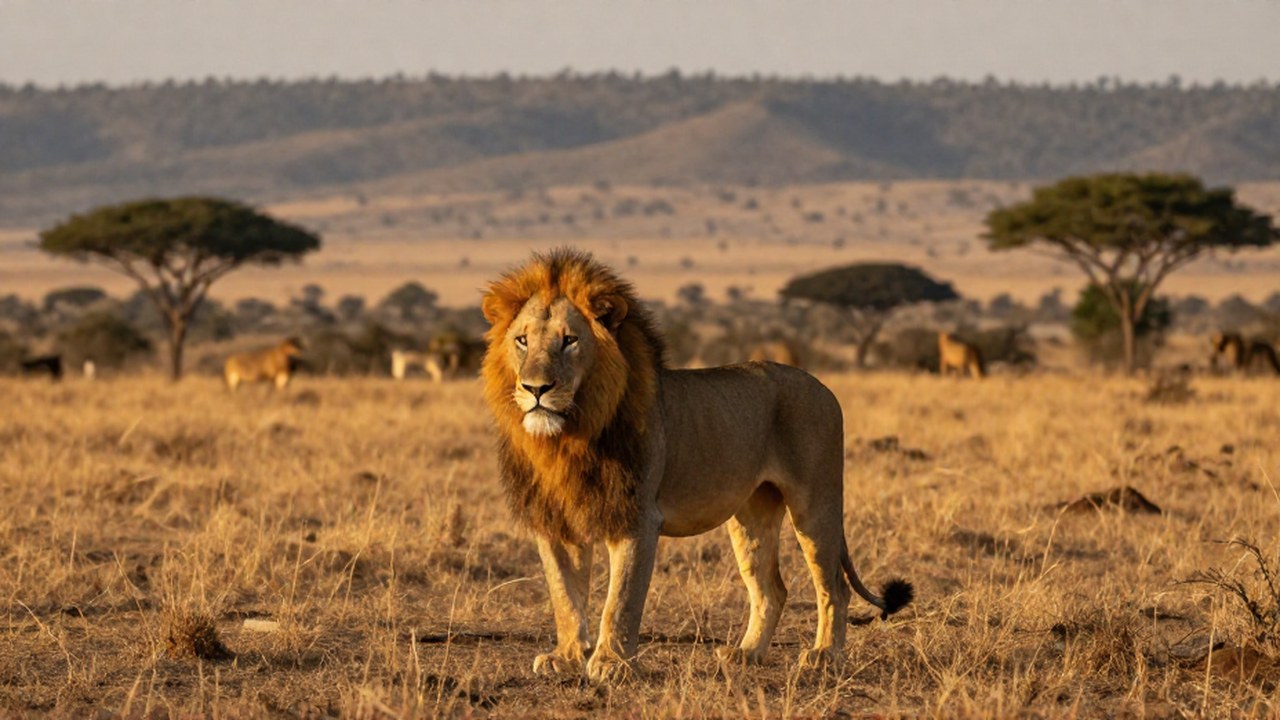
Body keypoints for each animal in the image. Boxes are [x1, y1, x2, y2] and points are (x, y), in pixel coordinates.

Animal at [481, 249, 911, 683]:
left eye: (569, 341)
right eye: (522, 340)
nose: (536, 388)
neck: (568, 437)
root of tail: (822, 385)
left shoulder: (638, 517)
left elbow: (621, 599)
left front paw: (611, 663)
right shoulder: (554, 521)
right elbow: (563, 594)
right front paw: (566, 657)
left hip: (815, 502)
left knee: (834, 586)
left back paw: (824, 655)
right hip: (752, 514)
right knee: (772, 588)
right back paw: (746, 654)